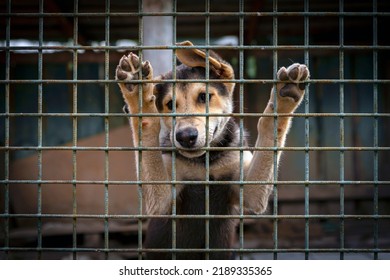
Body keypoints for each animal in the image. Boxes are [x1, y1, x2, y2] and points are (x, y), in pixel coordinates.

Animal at [114, 40, 310, 260]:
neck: (205, 162)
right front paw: (138, 94)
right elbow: (147, 125)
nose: (185, 137)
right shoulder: (160, 202)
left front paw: (284, 99)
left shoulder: (251, 193)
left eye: (204, 97)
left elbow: (268, 125)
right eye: (170, 104)